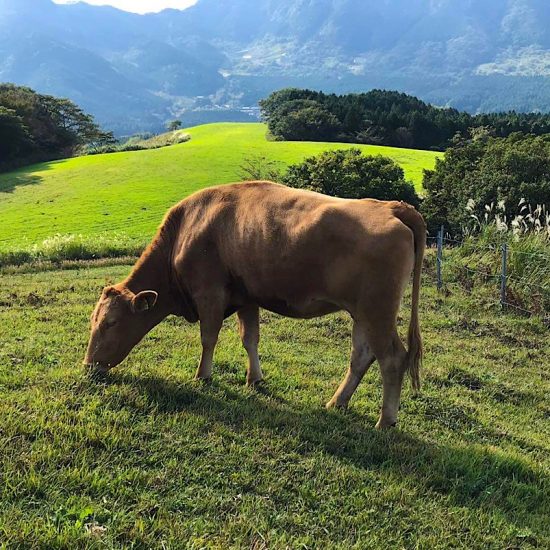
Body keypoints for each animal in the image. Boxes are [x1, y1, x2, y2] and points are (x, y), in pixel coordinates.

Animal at [84, 181, 426, 426]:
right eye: (93, 321)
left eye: (110, 323)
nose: (88, 365)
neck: (185, 230)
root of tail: (393, 207)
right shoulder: (247, 297)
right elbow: (250, 339)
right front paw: (254, 379)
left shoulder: (209, 293)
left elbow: (208, 338)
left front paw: (203, 376)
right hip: (362, 313)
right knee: (361, 356)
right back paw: (336, 403)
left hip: (377, 311)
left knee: (392, 358)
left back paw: (385, 421)